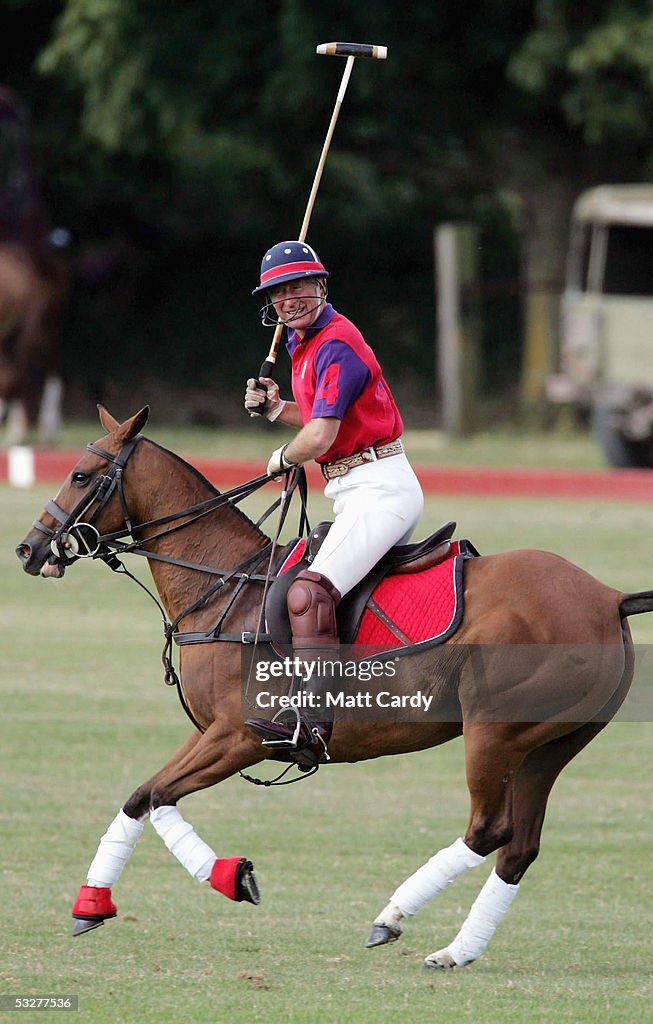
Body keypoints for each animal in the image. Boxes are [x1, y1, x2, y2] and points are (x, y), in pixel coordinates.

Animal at [15, 401, 653, 966]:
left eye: (80, 474)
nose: (28, 548)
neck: (225, 586)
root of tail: (608, 597)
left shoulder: (241, 735)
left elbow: (156, 794)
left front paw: (219, 880)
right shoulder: (218, 734)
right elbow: (144, 795)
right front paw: (104, 902)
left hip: (493, 731)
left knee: (490, 828)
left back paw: (392, 918)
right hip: (549, 745)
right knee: (520, 846)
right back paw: (455, 951)